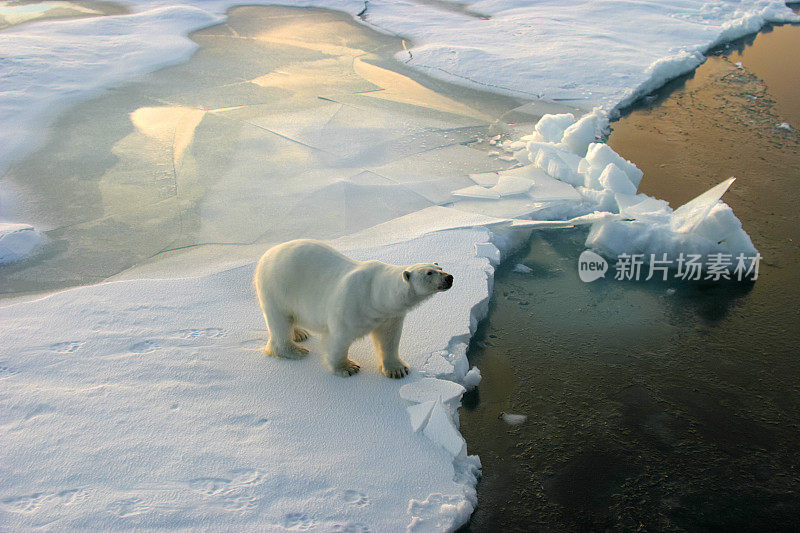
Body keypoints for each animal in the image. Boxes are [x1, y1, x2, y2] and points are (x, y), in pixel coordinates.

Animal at [256, 237, 456, 378]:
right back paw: (294, 350)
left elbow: (389, 339)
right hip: (278, 286)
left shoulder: (389, 315)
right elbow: (339, 339)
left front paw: (397, 370)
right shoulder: (350, 306)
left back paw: (300, 333)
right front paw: (348, 368)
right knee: (279, 320)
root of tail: (267, 253)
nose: (449, 277)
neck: (375, 294)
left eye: (440, 268)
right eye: (429, 273)